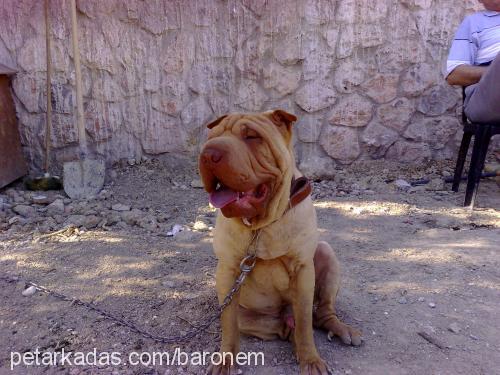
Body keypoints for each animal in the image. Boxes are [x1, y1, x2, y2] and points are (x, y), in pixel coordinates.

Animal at [197, 110, 362, 374]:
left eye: (252, 136)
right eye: (211, 138)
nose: (208, 154)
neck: (261, 224)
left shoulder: (303, 271)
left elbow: (305, 322)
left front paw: (310, 359)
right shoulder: (227, 271)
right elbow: (229, 325)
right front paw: (225, 360)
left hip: (325, 254)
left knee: (319, 314)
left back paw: (341, 329)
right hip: (245, 312)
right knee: (281, 327)